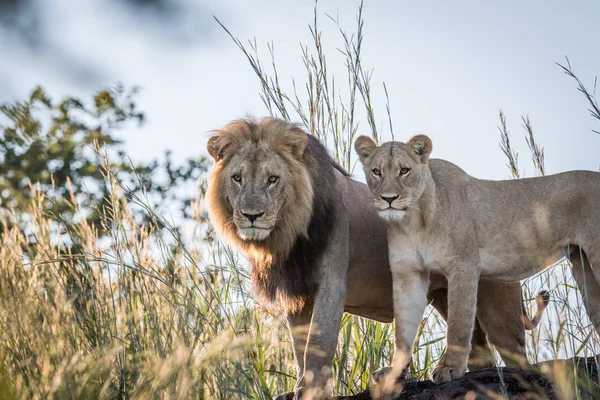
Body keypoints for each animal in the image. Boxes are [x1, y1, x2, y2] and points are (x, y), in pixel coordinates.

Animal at [206, 117, 548, 398]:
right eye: (237, 178)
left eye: (273, 179)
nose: (251, 216)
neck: (288, 231)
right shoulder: (297, 292)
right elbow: (300, 345)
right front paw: (299, 387)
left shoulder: (332, 282)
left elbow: (318, 343)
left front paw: (312, 391)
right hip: (449, 298)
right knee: (479, 354)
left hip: (499, 309)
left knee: (518, 357)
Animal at [356, 134, 600, 394]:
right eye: (376, 172)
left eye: (404, 170)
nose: (388, 199)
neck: (414, 220)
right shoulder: (408, 272)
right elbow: (402, 329)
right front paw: (394, 372)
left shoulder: (463, 267)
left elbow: (459, 323)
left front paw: (450, 368)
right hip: (582, 267)